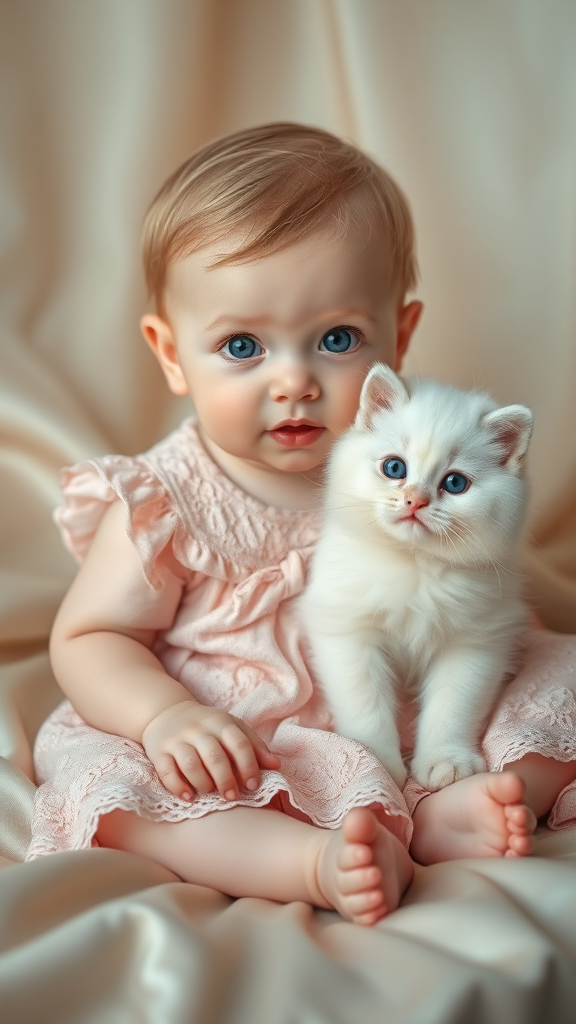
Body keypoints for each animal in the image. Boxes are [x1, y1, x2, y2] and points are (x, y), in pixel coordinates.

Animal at [303, 366, 532, 790]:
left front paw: (446, 761)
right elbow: (366, 708)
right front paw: (374, 764)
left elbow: (453, 707)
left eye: (455, 483)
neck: (415, 566)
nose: (415, 500)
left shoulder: (476, 642)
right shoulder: (348, 632)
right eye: (394, 468)